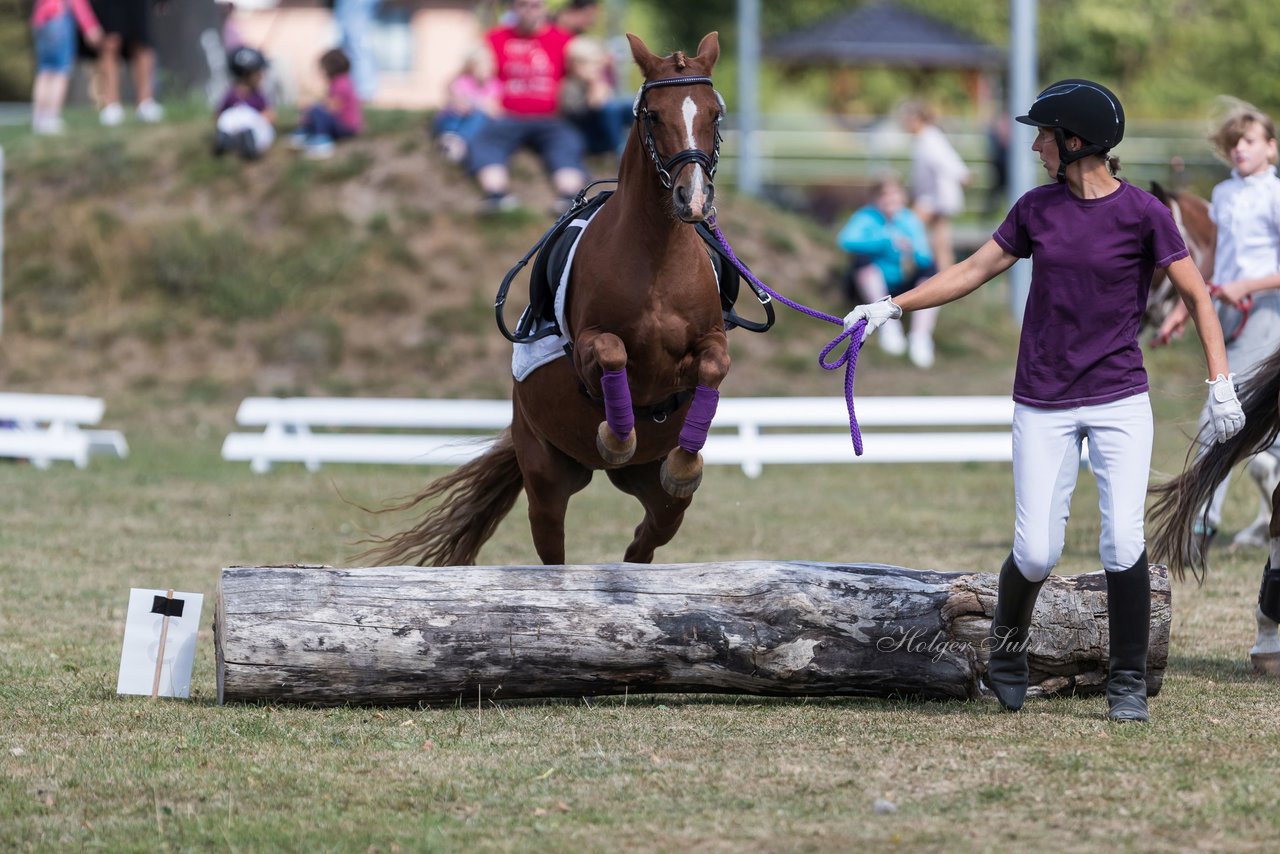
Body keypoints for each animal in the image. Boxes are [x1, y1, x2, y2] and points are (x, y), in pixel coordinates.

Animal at [366, 33, 737, 568]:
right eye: (653, 115)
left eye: (714, 113)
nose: (693, 198)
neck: (657, 257)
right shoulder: (588, 350)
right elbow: (612, 353)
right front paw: (616, 436)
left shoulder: (707, 343)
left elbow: (712, 366)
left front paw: (685, 463)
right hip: (545, 478)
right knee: (554, 548)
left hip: (659, 495)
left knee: (648, 536)